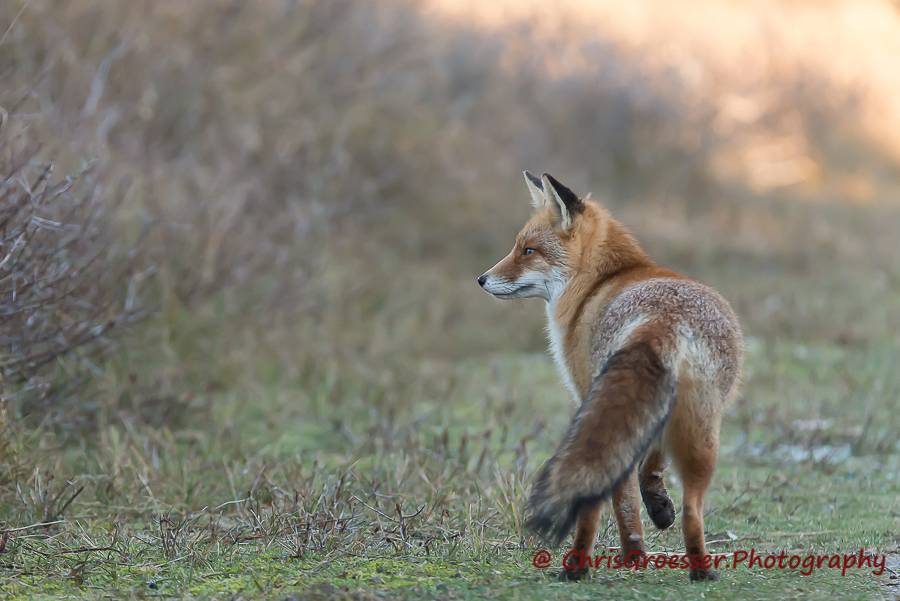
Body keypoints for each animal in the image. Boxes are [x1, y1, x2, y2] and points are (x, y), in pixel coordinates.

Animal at [474, 172, 740, 580]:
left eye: (528, 250)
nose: (482, 279)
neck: (601, 281)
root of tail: (658, 323)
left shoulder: (586, 390)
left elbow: (624, 494)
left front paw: (636, 545)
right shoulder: (657, 417)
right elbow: (652, 464)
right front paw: (658, 505)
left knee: (602, 496)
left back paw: (583, 565)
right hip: (702, 432)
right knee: (692, 511)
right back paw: (698, 569)